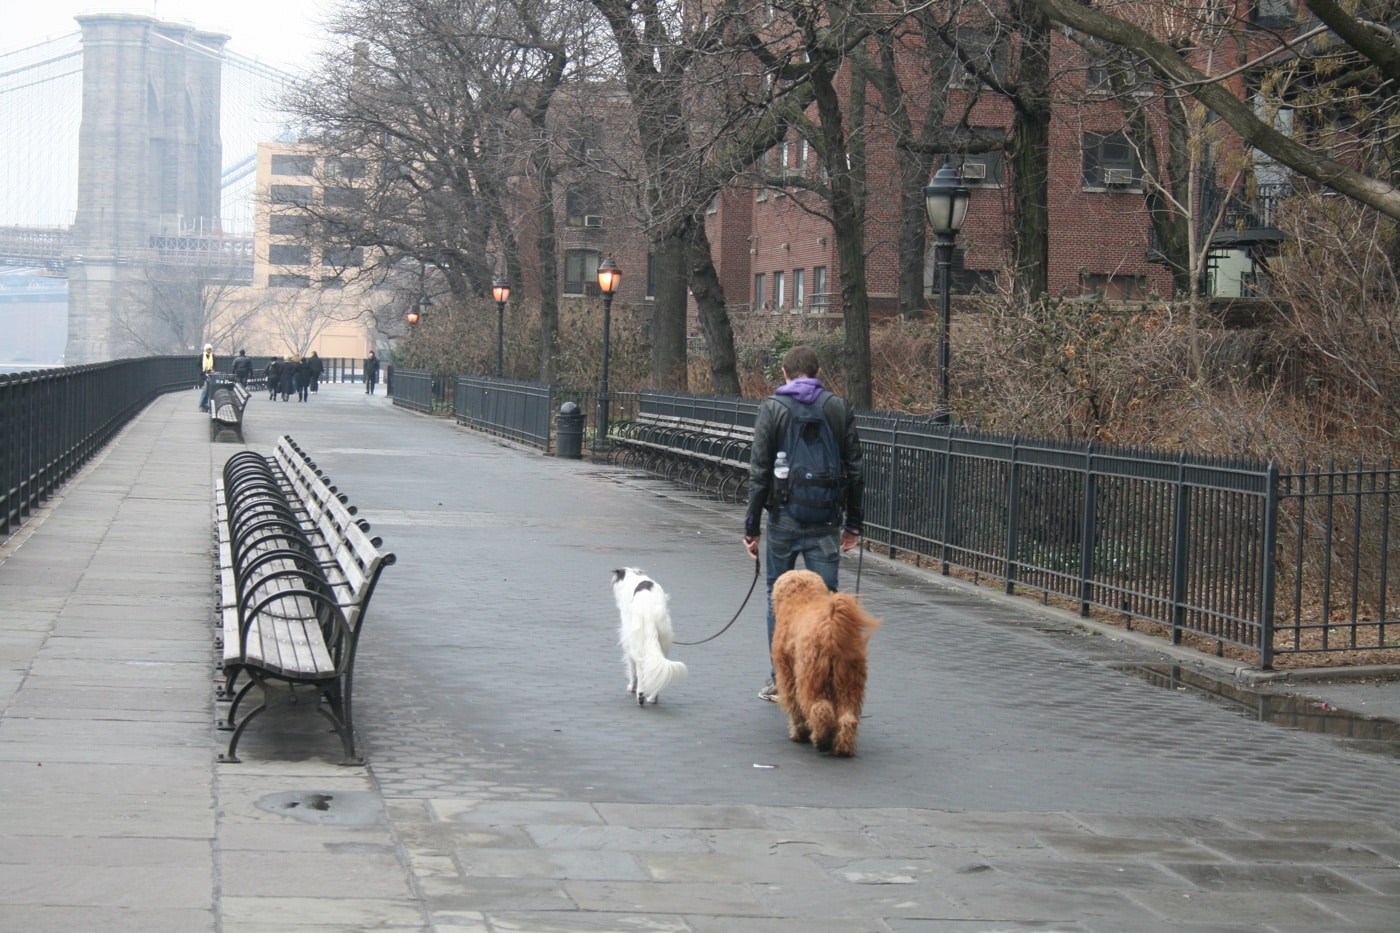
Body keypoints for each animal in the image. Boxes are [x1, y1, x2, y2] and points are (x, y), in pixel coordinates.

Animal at [610, 565, 686, 706]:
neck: (633, 577)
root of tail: (648, 612)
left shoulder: (628, 640)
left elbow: (632, 668)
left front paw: (632, 687)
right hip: (663, 641)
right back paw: (653, 698)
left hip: (637, 643)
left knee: (641, 669)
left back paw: (640, 694)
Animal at [772, 565, 879, 756]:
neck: (801, 599)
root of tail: (831, 629)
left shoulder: (787, 675)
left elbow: (794, 706)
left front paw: (799, 732)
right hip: (849, 682)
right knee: (848, 717)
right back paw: (843, 747)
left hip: (811, 680)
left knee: (820, 709)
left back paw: (821, 740)